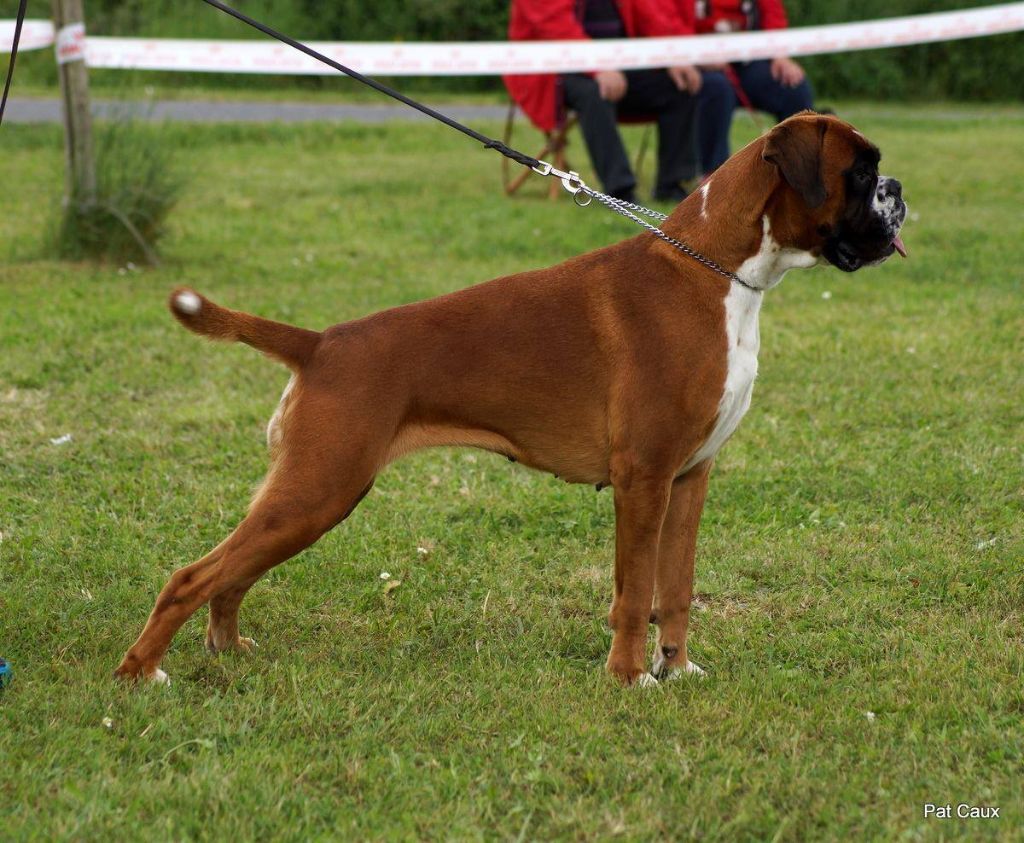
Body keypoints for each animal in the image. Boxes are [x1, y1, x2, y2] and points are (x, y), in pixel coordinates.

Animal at [116, 112, 909, 688]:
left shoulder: (690, 476)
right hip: (321, 487)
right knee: (192, 575)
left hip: (309, 495)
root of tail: (321, 342)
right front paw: (629, 679)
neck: (715, 271)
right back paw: (140, 672)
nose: (898, 189)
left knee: (231, 572)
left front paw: (677, 669)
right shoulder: (643, 477)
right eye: (860, 171)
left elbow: (675, 586)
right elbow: (633, 590)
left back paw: (226, 647)